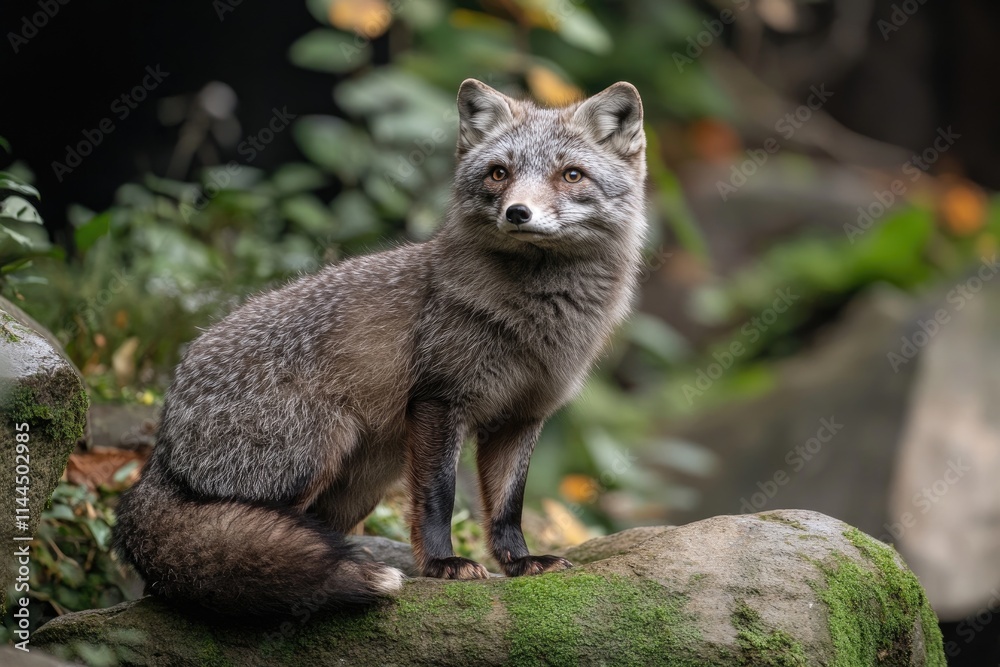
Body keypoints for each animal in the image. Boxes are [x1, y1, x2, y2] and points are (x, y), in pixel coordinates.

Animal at [113, 78, 647, 615]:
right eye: (500, 173)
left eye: (571, 175)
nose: (518, 212)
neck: (535, 327)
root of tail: (162, 446)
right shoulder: (439, 399)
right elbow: (438, 497)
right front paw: (443, 565)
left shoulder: (522, 416)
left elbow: (506, 508)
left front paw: (520, 563)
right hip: (314, 454)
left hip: (361, 484)